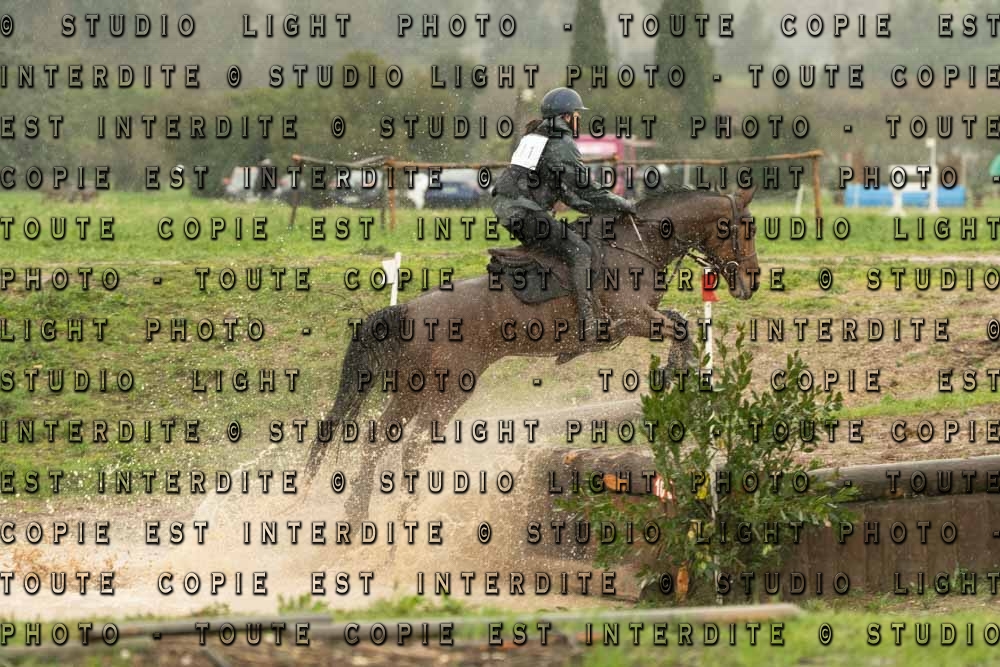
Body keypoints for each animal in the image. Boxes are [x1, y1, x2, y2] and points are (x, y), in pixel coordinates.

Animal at [304, 185, 760, 522]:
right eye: (746, 228)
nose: (752, 283)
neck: (637, 243)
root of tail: (411, 309)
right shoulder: (630, 317)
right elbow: (679, 328)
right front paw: (674, 373)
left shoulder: (643, 316)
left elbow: (681, 322)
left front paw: (680, 373)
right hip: (447, 390)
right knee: (413, 446)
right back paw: (406, 513)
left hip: (411, 389)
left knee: (381, 436)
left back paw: (358, 514)